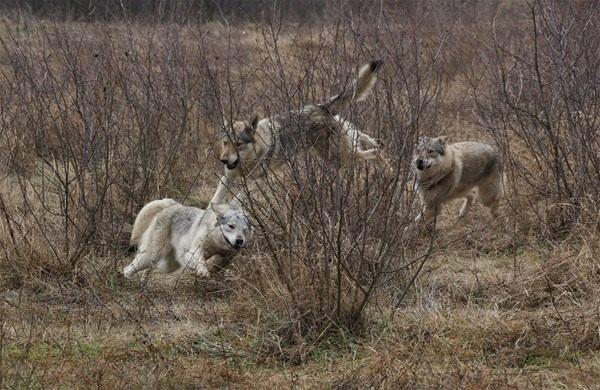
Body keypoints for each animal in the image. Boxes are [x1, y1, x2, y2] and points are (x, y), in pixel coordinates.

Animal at [210, 60, 390, 204]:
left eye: (238, 144)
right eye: (225, 142)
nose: (223, 160)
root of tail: (322, 107)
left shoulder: (259, 182)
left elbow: (237, 199)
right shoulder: (226, 179)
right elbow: (212, 204)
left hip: (340, 158)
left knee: (375, 153)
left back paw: (390, 173)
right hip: (337, 156)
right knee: (366, 140)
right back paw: (380, 149)